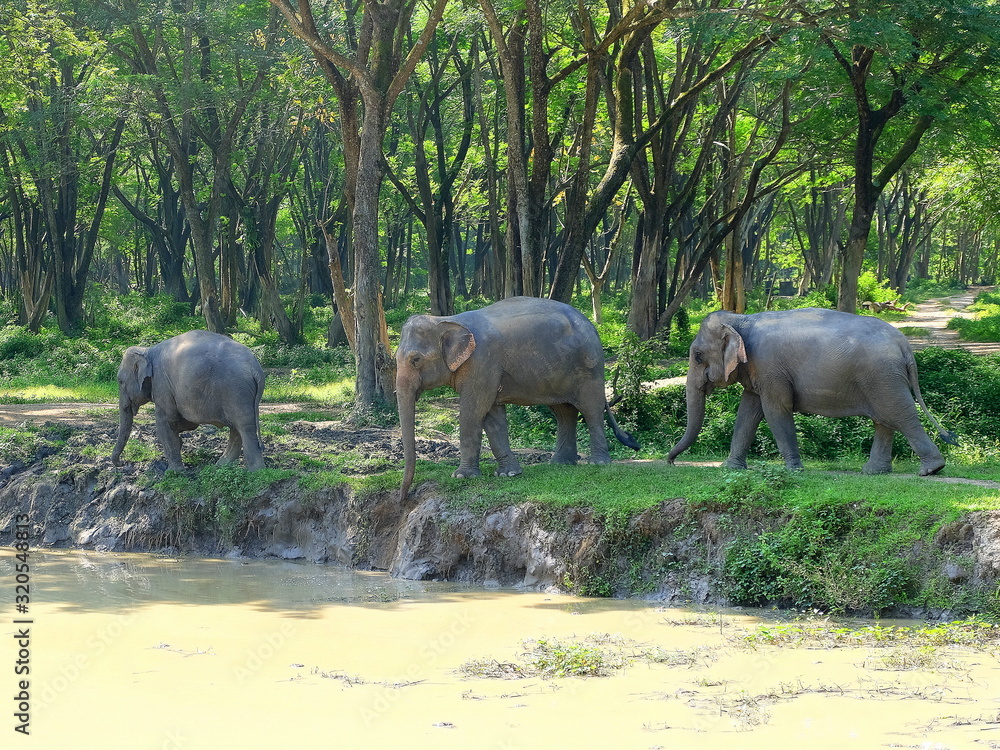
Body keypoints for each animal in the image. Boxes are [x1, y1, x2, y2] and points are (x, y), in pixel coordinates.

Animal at [111, 330, 266, 471]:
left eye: (120, 382)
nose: (122, 463)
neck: (147, 351)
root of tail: (256, 368)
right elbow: (181, 423)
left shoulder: (162, 385)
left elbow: (166, 422)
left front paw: (174, 472)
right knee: (237, 428)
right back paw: (221, 465)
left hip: (235, 391)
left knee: (245, 426)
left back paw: (255, 471)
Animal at [396, 296, 640, 499]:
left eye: (416, 360)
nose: (404, 498)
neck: (448, 320)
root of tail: (591, 324)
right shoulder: (487, 370)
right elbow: (492, 416)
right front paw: (509, 474)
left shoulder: (482, 363)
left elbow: (473, 410)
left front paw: (462, 476)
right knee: (564, 412)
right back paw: (560, 464)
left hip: (590, 366)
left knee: (591, 410)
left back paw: (597, 463)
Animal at [667, 308, 957, 475]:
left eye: (698, 355)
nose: (670, 462)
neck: (742, 319)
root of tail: (904, 345)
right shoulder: (758, 370)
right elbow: (748, 411)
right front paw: (731, 468)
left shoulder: (770, 366)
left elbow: (775, 410)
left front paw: (793, 471)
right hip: (882, 378)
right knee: (884, 419)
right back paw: (874, 472)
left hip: (882, 376)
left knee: (899, 414)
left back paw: (931, 470)